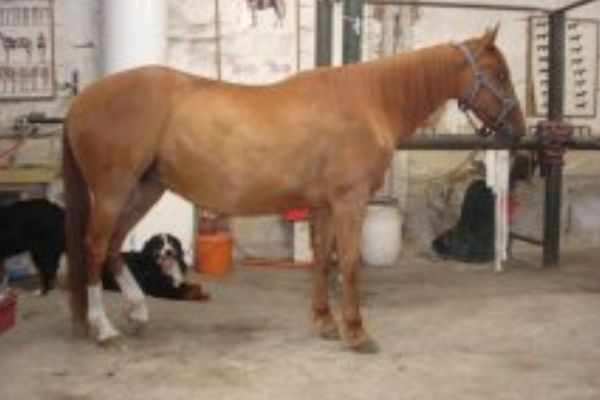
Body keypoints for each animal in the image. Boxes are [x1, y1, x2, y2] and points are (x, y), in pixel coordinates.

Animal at [64, 26, 525, 353]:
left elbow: (320, 261)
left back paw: (137, 313)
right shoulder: (350, 202)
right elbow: (348, 265)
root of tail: (83, 100)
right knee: (94, 247)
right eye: (500, 75)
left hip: (145, 189)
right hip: (113, 191)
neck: (369, 101)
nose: (518, 131)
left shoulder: (323, 205)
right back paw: (104, 329)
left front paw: (324, 322)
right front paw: (356, 332)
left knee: (114, 245)